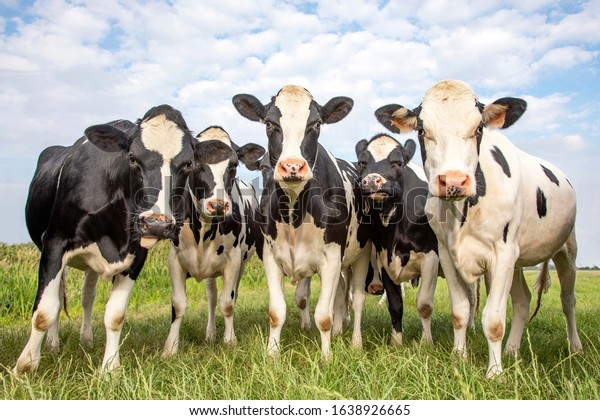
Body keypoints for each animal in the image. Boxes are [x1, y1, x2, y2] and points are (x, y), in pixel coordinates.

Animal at [15, 105, 195, 374]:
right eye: (132, 158)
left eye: (188, 164)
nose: (157, 224)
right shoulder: (55, 243)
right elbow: (44, 311)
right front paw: (25, 366)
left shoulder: (136, 255)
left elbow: (115, 315)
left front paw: (110, 369)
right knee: (58, 296)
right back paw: (53, 345)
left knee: (86, 296)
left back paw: (87, 339)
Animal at [161, 124, 264, 354]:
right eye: (193, 163)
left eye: (234, 165)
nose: (217, 205)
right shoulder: (174, 259)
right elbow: (178, 304)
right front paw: (170, 348)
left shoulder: (234, 259)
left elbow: (228, 302)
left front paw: (230, 340)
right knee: (211, 297)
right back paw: (210, 333)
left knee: (229, 295)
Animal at [232, 86, 372, 358]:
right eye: (269, 123)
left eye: (316, 124)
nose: (292, 166)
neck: (294, 213)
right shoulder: (270, 256)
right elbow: (277, 312)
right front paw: (272, 355)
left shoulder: (332, 258)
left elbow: (324, 316)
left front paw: (327, 358)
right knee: (341, 292)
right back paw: (339, 331)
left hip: (362, 253)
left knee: (357, 298)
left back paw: (356, 342)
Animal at [354, 134, 438, 344]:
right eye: (362, 163)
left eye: (398, 163)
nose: (371, 180)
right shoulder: (385, 259)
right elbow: (395, 304)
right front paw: (396, 342)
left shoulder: (430, 256)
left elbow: (424, 304)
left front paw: (427, 343)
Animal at [376, 79, 580, 378]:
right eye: (423, 129)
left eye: (479, 128)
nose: (453, 181)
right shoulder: (447, 254)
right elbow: (460, 310)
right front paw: (458, 357)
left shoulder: (502, 254)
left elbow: (494, 319)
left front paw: (495, 373)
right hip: (518, 261)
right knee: (523, 301)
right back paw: (512, 349)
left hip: (566, 251)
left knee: (568, 299)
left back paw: (575, 347)